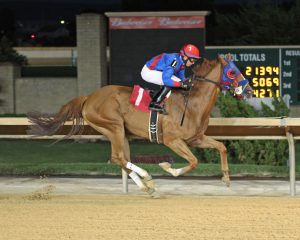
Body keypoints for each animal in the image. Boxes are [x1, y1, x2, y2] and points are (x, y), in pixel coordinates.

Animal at [28, 55, 253, 198]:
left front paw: (226, 178)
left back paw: (147, 187)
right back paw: (147, 178)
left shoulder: (195, 138)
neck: (192, 103)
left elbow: (221, 147)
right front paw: (168, 168)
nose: (249, 91)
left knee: (122, 159)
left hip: (121, 133)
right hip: (114, 126)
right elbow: (194, 161)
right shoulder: (172, 140)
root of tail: (88, 97)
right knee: (118, 157)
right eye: (232, 72)